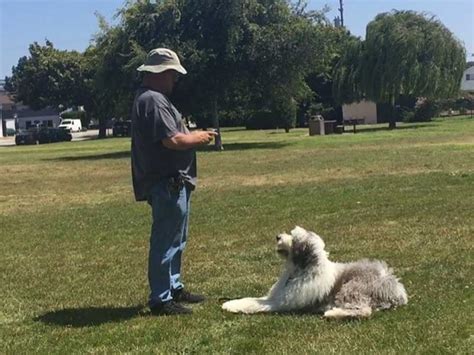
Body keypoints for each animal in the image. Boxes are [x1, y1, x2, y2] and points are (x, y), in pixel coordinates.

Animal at [222, 228, 408, 320]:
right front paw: (232, 302)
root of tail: (396, 289)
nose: (278, 236)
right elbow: (252, 299)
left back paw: (333, 313)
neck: (300, 270)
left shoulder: (283, 302)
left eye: (294, 238)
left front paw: (230, 306)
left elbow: (255, 304)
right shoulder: (277, 295)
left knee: (364, 311)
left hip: (352, 289)